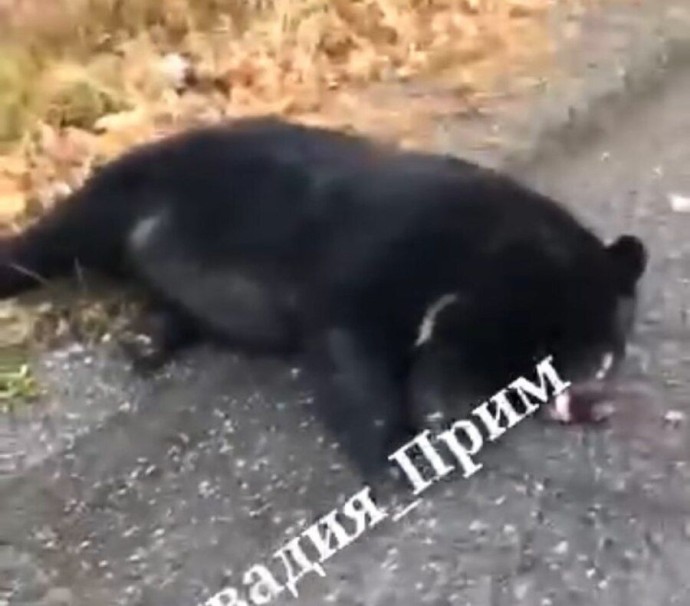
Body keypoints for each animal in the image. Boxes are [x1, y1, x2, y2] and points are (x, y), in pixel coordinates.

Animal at [0, 116, 648, 478]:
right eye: (559, 355)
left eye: (605, 358)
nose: (596, 403)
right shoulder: (367, 267)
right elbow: (351, 352)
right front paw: (401, 457)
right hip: (122, 195)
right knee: (51, 242)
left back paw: (144, 344)